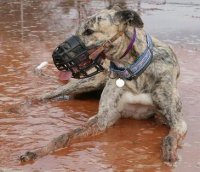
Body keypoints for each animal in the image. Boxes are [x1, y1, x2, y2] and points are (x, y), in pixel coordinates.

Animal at [19, 5, 187, 164]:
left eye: (89, 31)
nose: (55, 56)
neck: (133, 69)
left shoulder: (177, 122)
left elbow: (169, 137)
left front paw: (169, 155)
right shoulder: (103, 118)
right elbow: (66, 135)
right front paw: (38, 151)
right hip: (88, 82)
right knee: (48, 94)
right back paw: (21, 105)